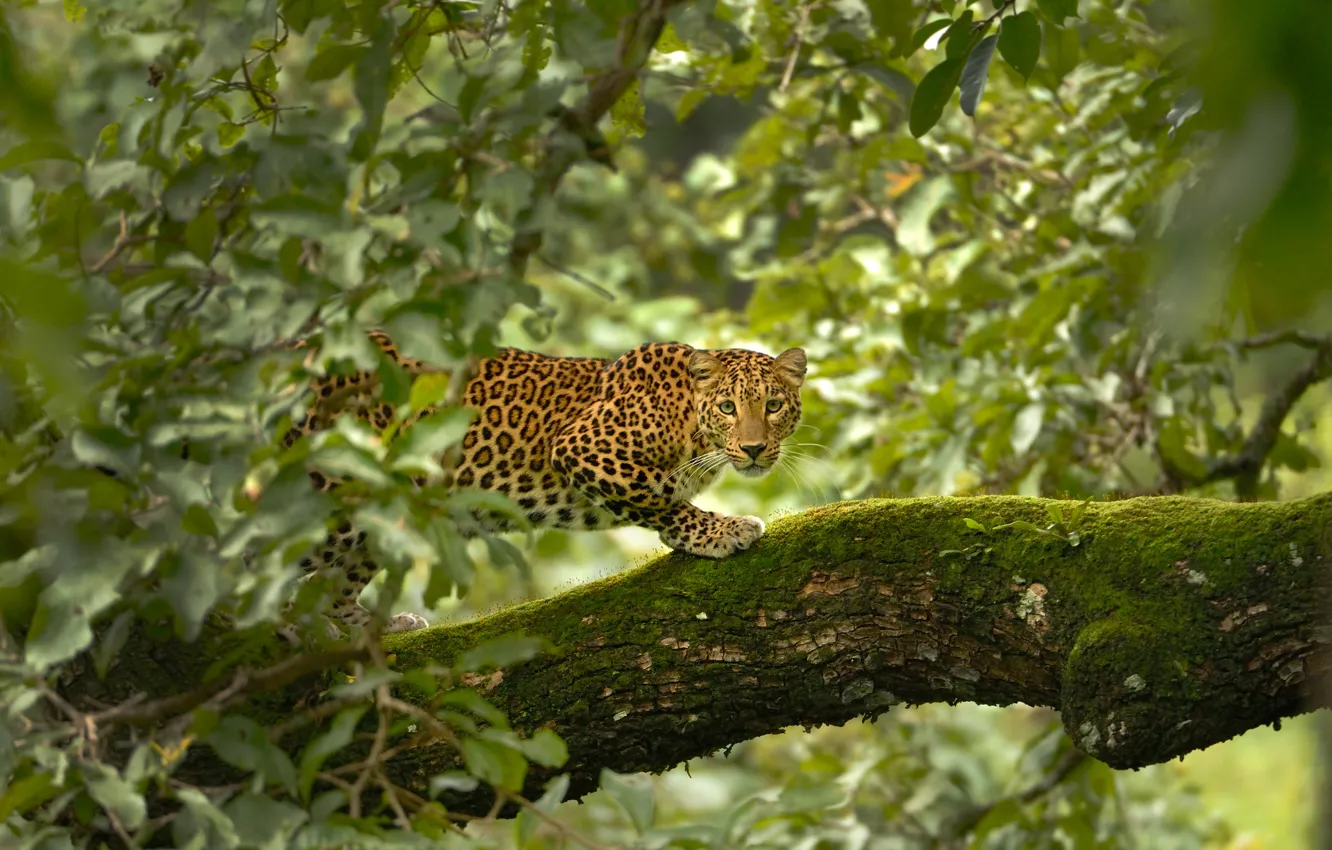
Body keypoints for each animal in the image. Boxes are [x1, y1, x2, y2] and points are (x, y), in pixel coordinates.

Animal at [282, 333, 804, 639]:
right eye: (728, 408)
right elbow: (656, 499)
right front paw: (719, 532)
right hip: (334, 488)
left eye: (774, 405)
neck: (689, 418)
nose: (755, 449)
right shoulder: (581, 446)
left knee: (334, 585)